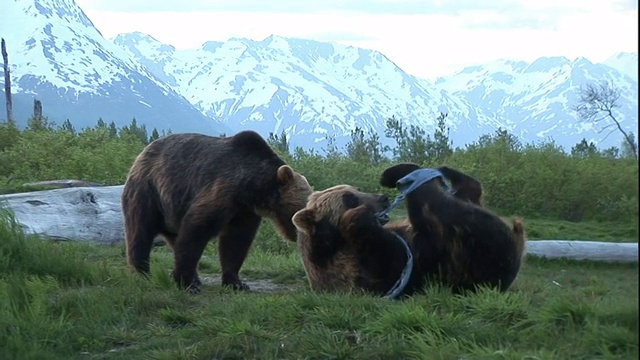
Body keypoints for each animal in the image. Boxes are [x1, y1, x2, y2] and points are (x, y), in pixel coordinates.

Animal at [121, 131, 312, 294]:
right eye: (301, 210)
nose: (299, 236)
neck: (253, 188)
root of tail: (142, 153)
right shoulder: (222, 190)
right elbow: (197, 228)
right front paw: (186, 282)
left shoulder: (245, 211)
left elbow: (236, 241)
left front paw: (236, 282)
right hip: (149, 191)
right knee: (140, 231)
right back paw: (142, 272)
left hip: (172, 209)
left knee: (175, 238)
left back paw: (194, 277)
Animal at [292, 165, 528, 296]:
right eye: (349, 198)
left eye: (355, 189)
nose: (382, 198)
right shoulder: (367, 273)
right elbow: (388, 257)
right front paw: (357, 216)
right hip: (474, 253)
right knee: (437, 205)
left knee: (464, 194)